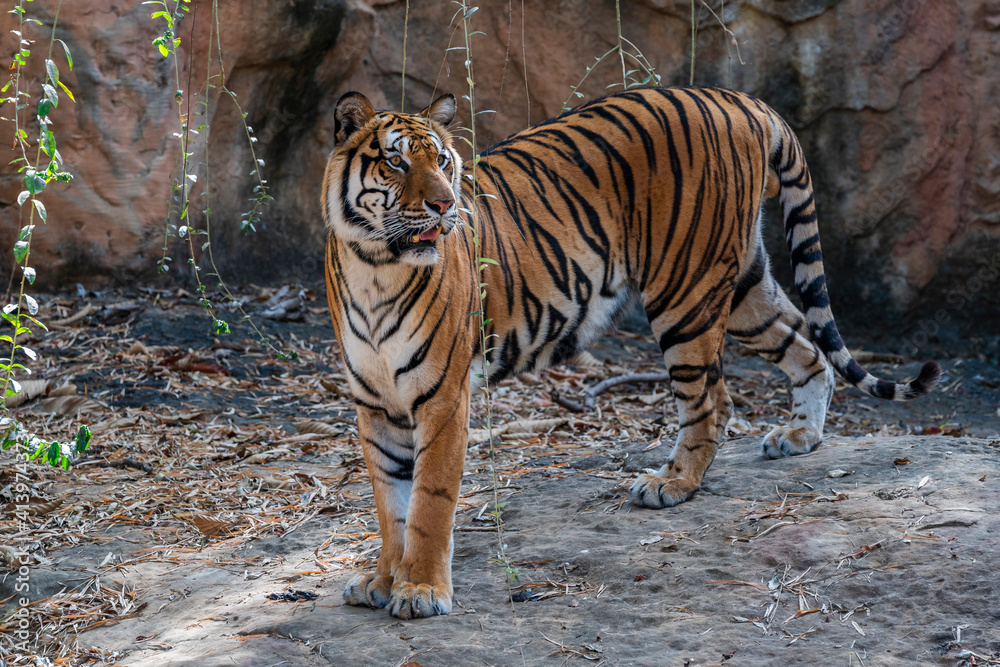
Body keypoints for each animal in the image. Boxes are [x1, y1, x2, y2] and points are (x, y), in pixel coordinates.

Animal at [321, 87, 940, 619]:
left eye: (444, 162)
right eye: (397, 163)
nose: (445, 205)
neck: (376, 268)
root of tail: (743, 100)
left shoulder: (443, 398)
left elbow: (428, 501)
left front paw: (421, 590)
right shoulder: (375, 402)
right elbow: (390, 504)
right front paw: (383, 580)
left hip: (684, 291)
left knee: (711, 401)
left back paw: (671, 484)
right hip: (744, 284)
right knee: (806, 349)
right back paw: (800, 436)